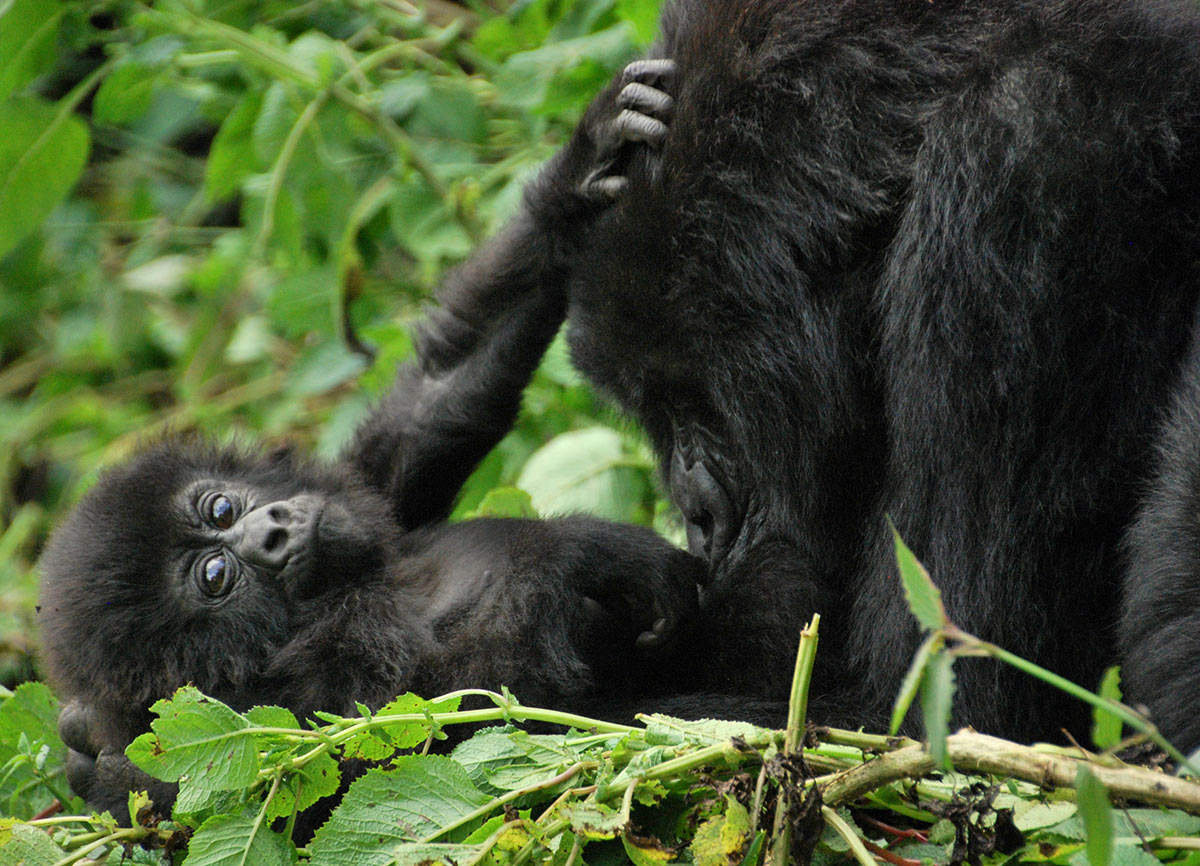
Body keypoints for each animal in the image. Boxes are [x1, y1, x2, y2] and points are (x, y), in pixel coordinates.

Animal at [39, 59, 696, 815]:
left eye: (221, 508)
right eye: (215, 577)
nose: (273, 527)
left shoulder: (369, 488)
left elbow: (443, 386)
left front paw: (580, 173)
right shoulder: (287, 705)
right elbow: (430, 718)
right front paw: (584, 550)